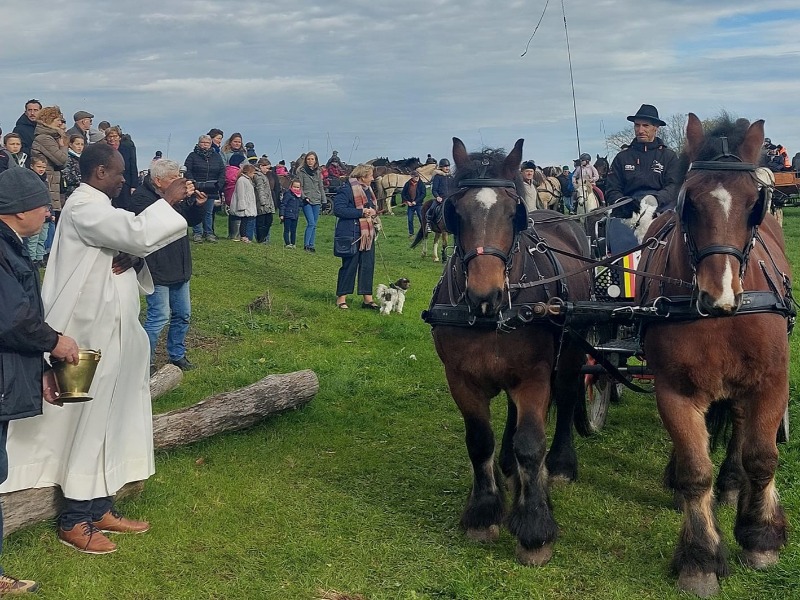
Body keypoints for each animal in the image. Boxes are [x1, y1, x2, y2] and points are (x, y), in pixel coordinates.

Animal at [424, 138, 592, 564]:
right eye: (456, 211)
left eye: (511, 212)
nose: (486, 295)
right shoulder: (460, 379)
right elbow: (479, 441)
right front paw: (483, 513)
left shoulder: (534, 377)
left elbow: (531, 445)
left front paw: (535, 528)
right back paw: (507, 463)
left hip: (571, 352)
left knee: (567, 396)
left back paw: (560, 465)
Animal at [636, 112, 792, 596]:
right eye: (690, 203)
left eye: (754, 204)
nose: (717, 294)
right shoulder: (674, 389)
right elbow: (694, 470)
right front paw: (701, 558)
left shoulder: (771, 381)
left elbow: (762, 457)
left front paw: (760, 536)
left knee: (741, 429)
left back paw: (733, 485)